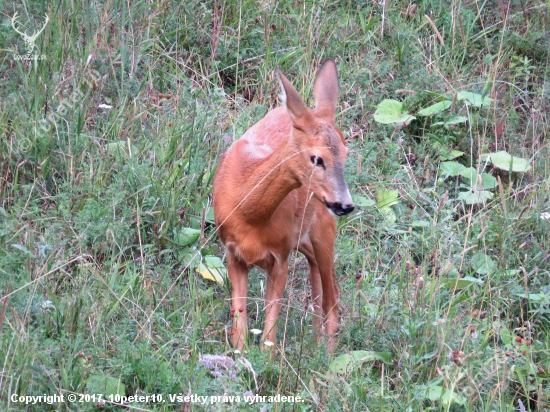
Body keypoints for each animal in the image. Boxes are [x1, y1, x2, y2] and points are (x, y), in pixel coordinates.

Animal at [213, 59, 356, 352]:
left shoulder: (280, 256)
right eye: (317, 158)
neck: (248, 214)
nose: (346, 204)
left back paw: (326, 354)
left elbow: (270, 328)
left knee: (332, 293)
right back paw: (315, 343)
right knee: (319, 282)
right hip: (303, 237)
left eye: (346, 154)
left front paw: (265, 359)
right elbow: (239, 321)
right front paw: (240, 355)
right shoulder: (232, 252)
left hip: (323, 228)